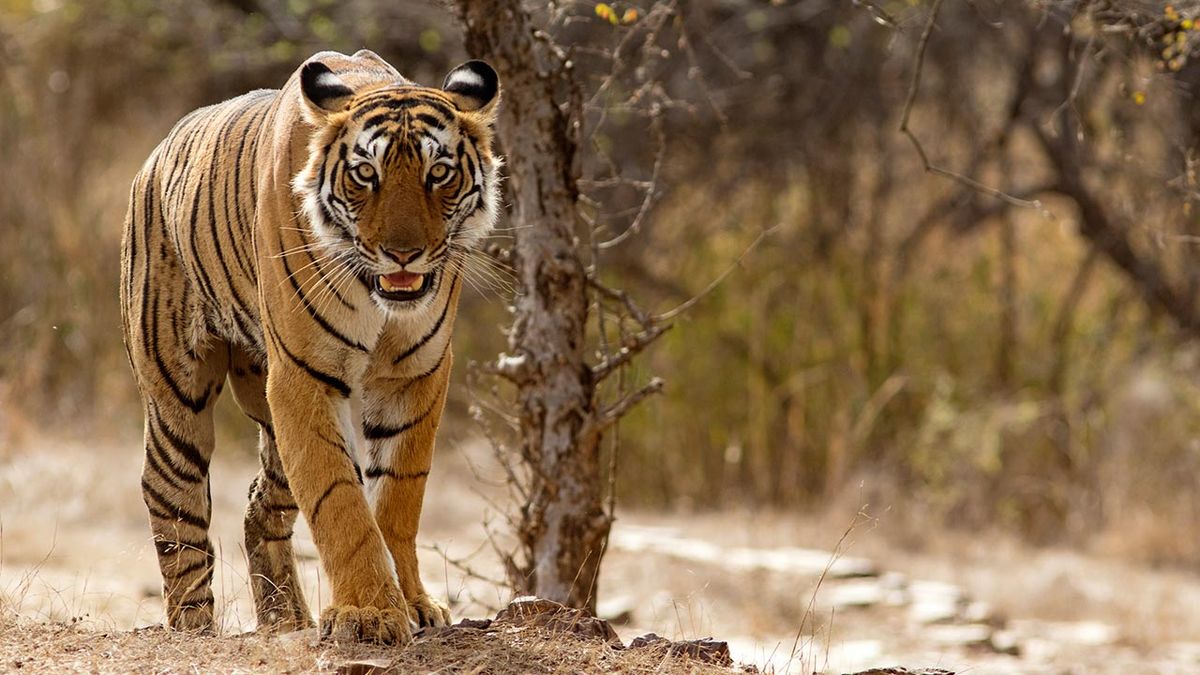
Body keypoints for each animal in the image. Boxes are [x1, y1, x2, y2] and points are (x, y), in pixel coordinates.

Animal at [119, 49, 501, 645]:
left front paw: (413, 604)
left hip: (269, 424)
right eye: (366, 174)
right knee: (172, 501)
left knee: (261, 508)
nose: (403, 254)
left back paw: (285, 619)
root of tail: (156, 154)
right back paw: (194, 627)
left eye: (438, 173)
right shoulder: (304, 376)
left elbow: (397, 498)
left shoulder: (416, 374)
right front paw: (369, 613)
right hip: (176, 395)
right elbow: (338, 498)